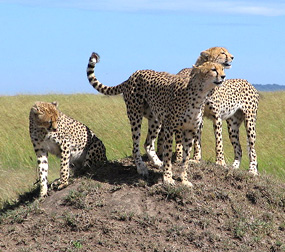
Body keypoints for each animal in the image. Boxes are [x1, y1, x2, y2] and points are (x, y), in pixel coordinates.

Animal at [86, 52, 224, 187]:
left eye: (222, 68)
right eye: (213, 69)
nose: (223, 76)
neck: (200, 95)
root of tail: (134, 74)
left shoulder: (190, 131)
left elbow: (185, 159)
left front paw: (184, 180)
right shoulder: (169, 128)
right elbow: (168, 155)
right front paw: (167, 178)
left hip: (155, 119)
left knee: (147, 143)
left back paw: (158, 162)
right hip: (135, 115)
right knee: (135, 146)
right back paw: (141, 167)